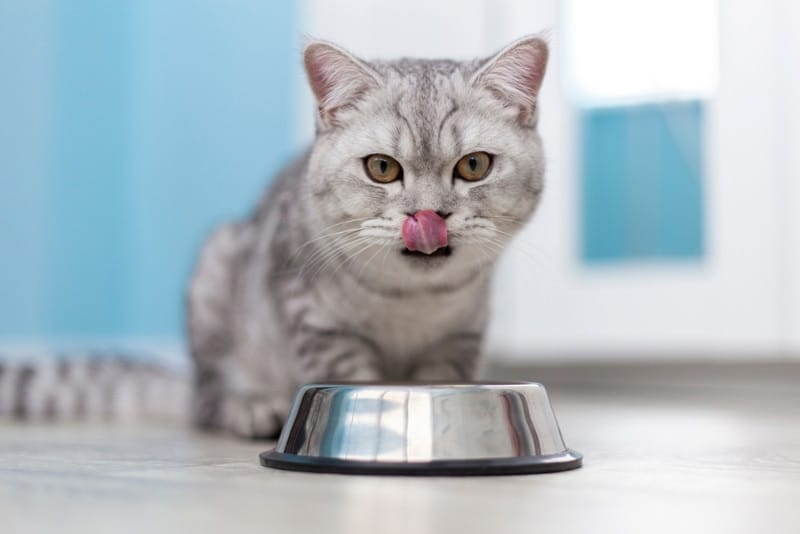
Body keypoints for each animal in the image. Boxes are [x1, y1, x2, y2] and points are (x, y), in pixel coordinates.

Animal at [188, 34, 552, 440]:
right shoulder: (321, 327)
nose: (427, 216)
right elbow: (351, 384)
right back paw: (251, 408)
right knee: (205, 397)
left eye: (474, 165)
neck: (412, 299)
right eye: (382, 167)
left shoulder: (459, 340)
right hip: (215, 274)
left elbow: (440, 385)